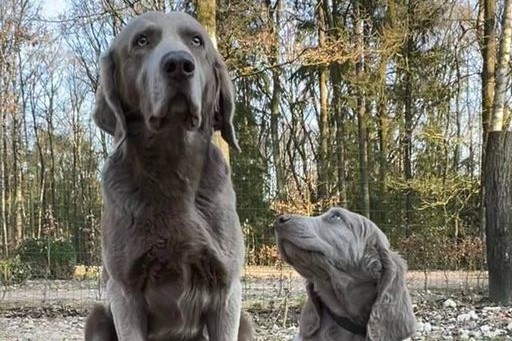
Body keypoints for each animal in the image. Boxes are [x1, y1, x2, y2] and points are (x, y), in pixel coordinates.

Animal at [86, 10, 254, 340]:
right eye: (141, 41)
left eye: (197, 40)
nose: (178, 64)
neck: (172, 165)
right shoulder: (124, 292)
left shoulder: (226, 290)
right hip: (97, 314)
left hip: (246, 318)